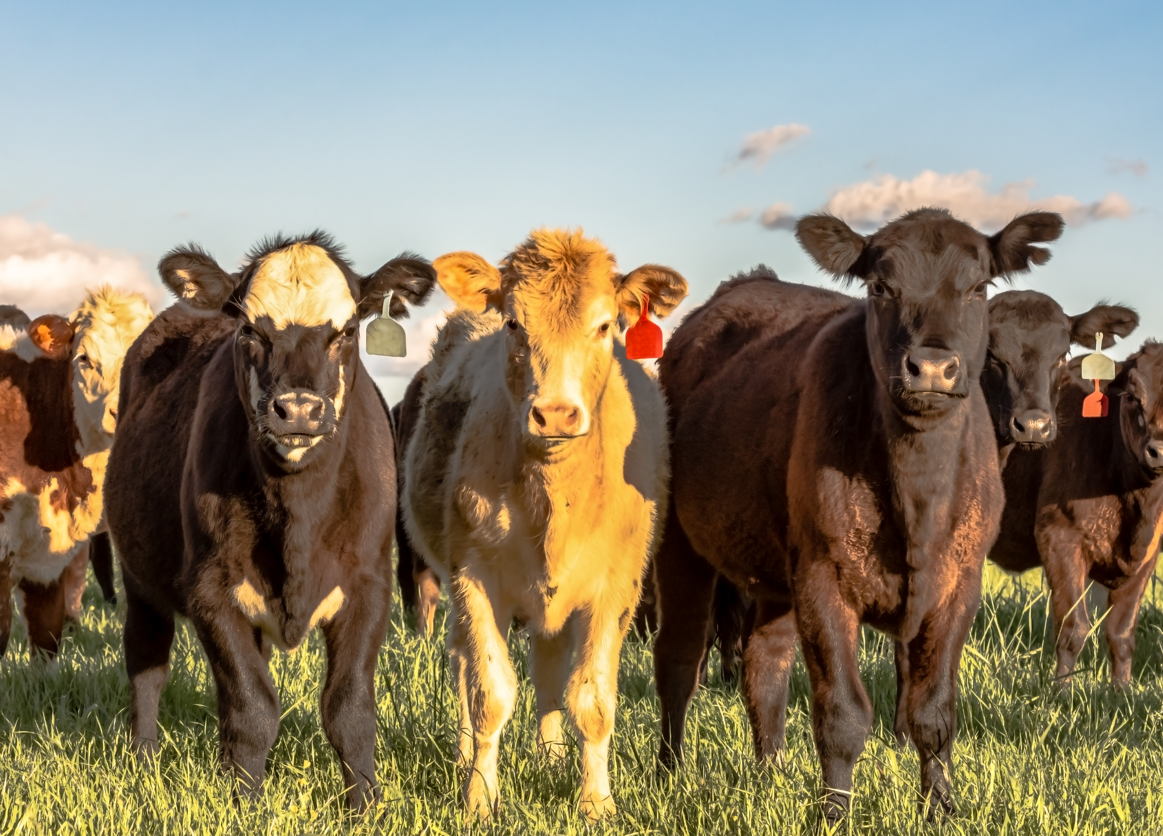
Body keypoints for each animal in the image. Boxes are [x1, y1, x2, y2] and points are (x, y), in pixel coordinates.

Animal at [104, 232, 435, 810]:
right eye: (250, 331)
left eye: (347, 331)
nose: (298, 409)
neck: (298, 518)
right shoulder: (211, 590)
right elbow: (252, 709)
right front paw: (245, 805)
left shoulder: (369, 587)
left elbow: (349, 709)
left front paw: (364, 806)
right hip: (141, 580)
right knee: (147, 663)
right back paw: (144, 759)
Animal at [403, 228, 687, 820]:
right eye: (514, 322)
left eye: (605, 325)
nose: (555, 413)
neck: (555, 501)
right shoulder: (474, 578)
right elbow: (489, 694)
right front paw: (479, 799)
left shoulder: (615, 588)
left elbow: (592, 700)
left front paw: (595, 803)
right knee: (462, 662)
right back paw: (465, 756)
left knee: (550, 668)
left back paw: (551, 757)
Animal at [652, 208, 1063, 823]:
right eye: (880, 287)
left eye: (978, 288)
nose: (932, 368)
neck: (918, 500)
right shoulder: (823, 578)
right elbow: (842, 715)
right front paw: (833, 815)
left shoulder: (959, 586)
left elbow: (933, 714)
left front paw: (939, 809)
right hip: (681, 543)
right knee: (679, 660)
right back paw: (669, 774)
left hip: (775, 571)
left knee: (765, 666)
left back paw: (768, 774)